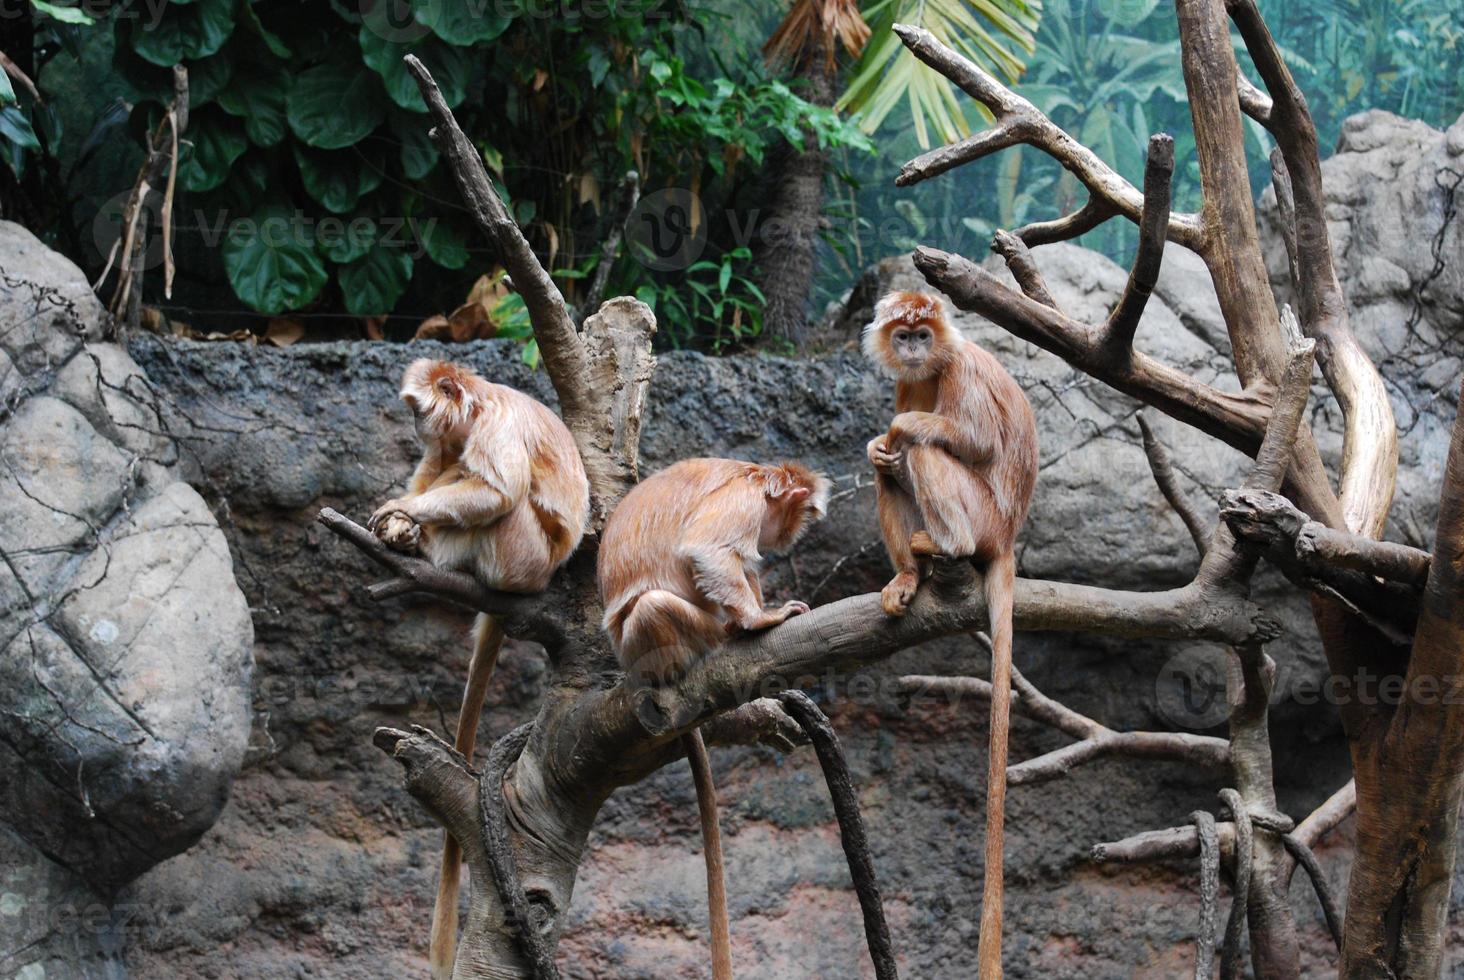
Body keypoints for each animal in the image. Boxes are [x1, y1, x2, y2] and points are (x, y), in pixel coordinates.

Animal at [366, 357, 588, 978]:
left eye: (416, 408)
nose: (414, 425)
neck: (481, 404)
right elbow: (435, 471)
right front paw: (401, 514)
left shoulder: (497, 427)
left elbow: (496, 490)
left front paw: (403, 516)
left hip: (519, 556)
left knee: (500, 506)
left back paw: (429, 549)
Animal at [597, 457, 831, 978]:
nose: (790, 535)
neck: (756, 475)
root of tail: (630, 666)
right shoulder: (741, 500)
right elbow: (709, 552)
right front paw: (762, 619)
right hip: (662, 642)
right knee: (656, 605)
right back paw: (731, 634)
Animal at [860, 294, 1036, 978]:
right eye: (903, 336)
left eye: (923, 334)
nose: (911, 349)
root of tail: (1009, 535)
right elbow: (885, 452)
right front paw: (874, 446)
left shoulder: (959, 370)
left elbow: (967, 437)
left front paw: (902, 426)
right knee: (892, 471)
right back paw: (911, 575)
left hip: (984, 515)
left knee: (925, 450)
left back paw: (946, 542)